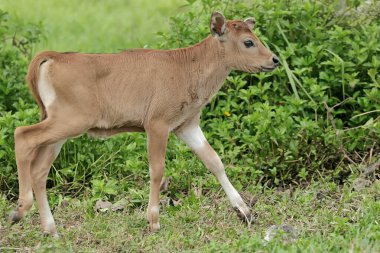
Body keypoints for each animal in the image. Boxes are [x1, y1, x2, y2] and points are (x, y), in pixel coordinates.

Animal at [8, 11, 276, 236]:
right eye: (248, 42)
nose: (273, 59)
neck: (189, 67)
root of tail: (51, 57)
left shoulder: (186, 125)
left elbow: (214, 161)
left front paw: (245, 211)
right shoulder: (157, 123)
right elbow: (157, 170)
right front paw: (154, 220)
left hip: (61, 126)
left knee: (40, 169)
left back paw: (50, 229)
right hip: (70, 120)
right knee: (23, 135)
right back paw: (20, 209)